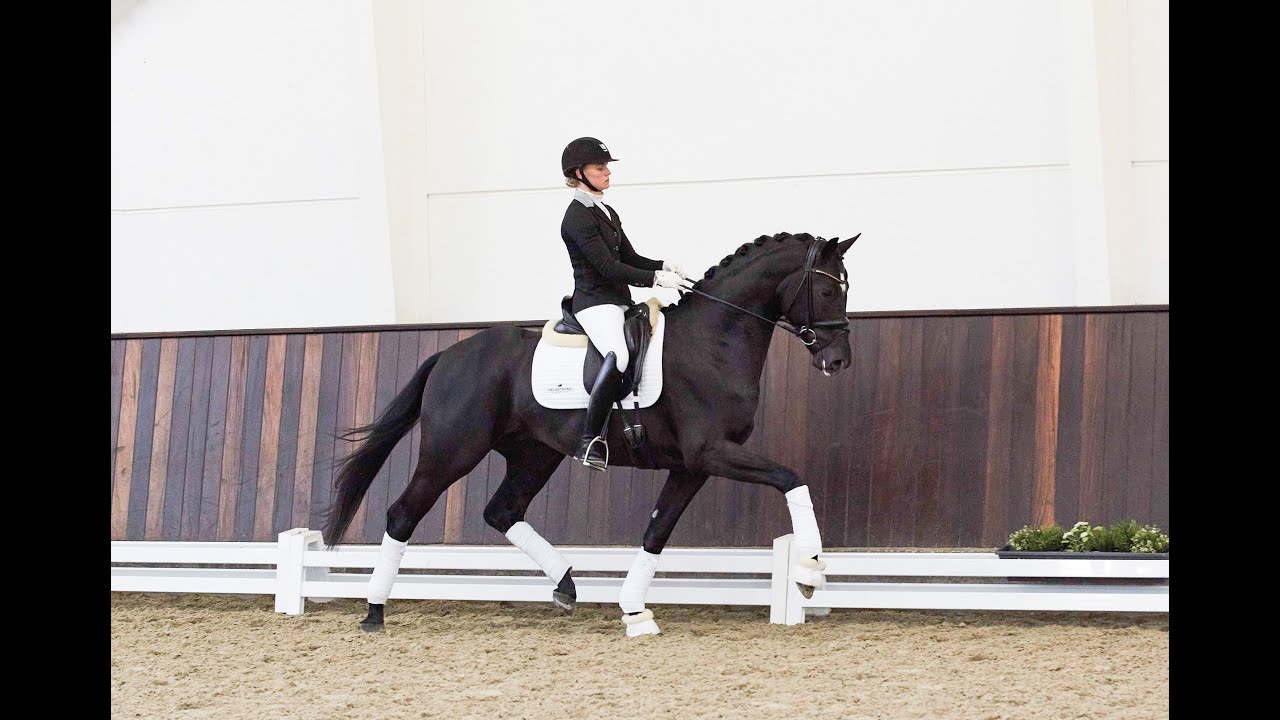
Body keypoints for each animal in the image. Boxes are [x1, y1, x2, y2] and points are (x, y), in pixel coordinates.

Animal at [321, 231, 858, 636]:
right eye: (830, 290)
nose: (837, 362)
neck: (714, 340)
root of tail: (449, 355)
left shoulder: (691, 465)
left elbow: (657, 531)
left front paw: (635, 612)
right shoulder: (711, 452)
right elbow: (792, 478)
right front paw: (809, 570)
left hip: (534, 454)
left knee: (502, 511)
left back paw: (565, 584)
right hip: (452, 451)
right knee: (404, 512)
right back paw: (374, 612)